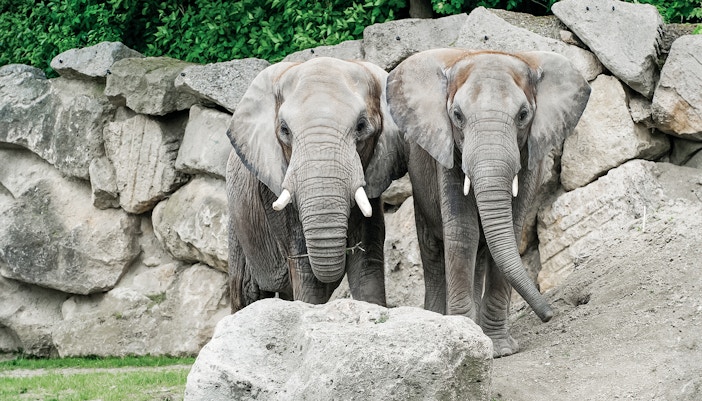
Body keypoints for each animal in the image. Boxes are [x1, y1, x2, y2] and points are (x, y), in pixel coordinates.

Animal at [386, 49, 590, 357]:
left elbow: (512, 230)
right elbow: (463, 231)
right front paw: (466, 336)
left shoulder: (530, 156)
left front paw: (500, 349)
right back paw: (437, 318)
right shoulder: (446, 154)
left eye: (523, 115)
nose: (549, 315)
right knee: (433, 250)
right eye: (457, 115)